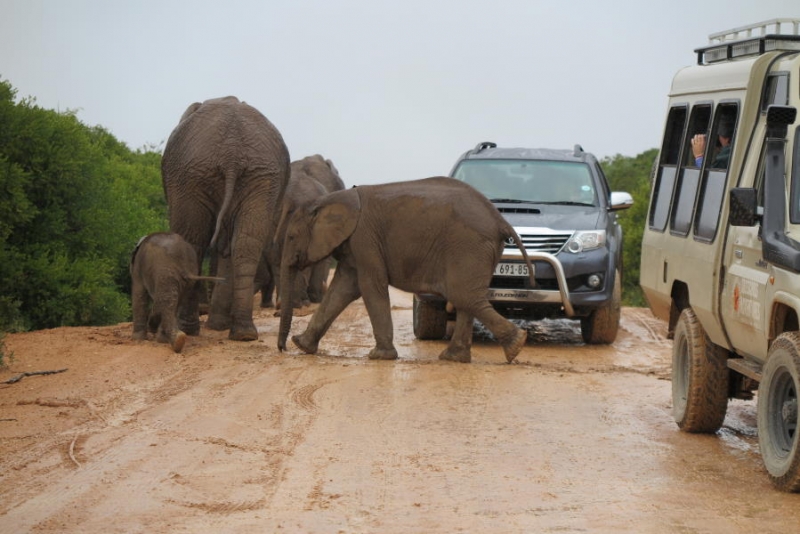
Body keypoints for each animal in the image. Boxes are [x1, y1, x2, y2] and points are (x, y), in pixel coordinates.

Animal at [161, 95, 290, 344]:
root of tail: (232, 155)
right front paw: (220, 326)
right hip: (260, 177)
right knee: (245, 244)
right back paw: (244, 333)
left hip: (190, 176)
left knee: (194, 242)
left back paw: (188, 328)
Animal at [278, 177, 536, 364]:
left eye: (290, 237)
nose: (282, 349)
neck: (330, 200)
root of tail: (500, 220)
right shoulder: (355, 245)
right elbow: (343, 289)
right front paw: (302, 345)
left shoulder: (365, 238)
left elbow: (370, 287)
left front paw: (379, 357)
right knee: (467, 298)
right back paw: (456, 358)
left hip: (468, 246)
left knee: (464, 296)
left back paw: (515, 346)